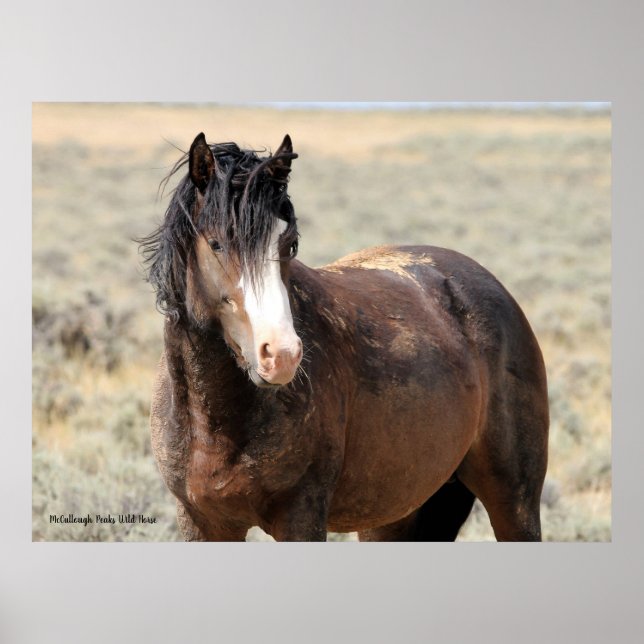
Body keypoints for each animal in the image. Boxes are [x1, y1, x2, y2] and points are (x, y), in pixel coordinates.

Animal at [139, 132, 549, 541]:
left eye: (290, 245)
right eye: (216, 244)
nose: (281, 355)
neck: (215, 425)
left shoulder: (301, 518)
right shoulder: (201, 522)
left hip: (514, 504)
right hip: (394, 516)